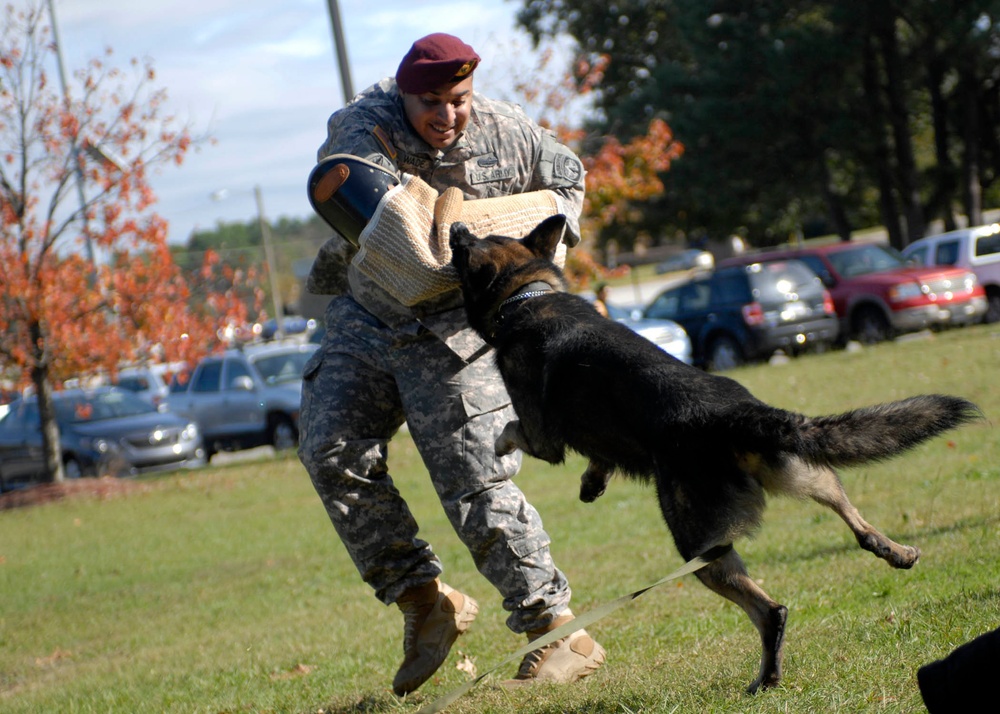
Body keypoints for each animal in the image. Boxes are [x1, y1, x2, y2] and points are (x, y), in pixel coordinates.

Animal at [450, 216, 980, 688]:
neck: (527, 295)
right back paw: (895, 551)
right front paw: (593, 481)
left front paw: (502, 445)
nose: (453, 226)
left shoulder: (544, 437)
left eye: (466, 246)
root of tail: (738, 415)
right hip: (804, 475)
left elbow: (512, 428)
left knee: (771, 610)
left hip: (699, 547)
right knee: (852, 520)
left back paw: (765, 679)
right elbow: (601, 454)